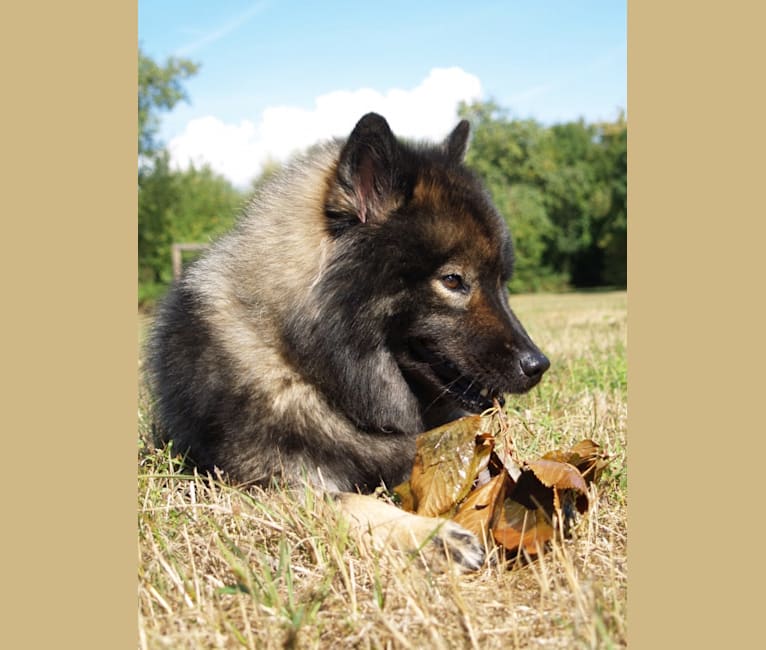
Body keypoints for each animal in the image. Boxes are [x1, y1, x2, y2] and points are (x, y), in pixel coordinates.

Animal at [146, 111, 552, 568]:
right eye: (452, 280)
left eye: (502, 281)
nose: (538, 365)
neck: (314, 370)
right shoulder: (262, 487)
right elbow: (350, 502)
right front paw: (434, 535)